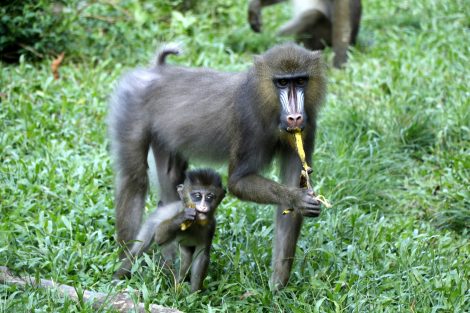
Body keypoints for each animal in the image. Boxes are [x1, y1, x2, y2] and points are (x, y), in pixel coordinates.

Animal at [108, 42, 324, 288]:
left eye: (300, 80)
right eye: (282, 82)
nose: (295, 117)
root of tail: (157, 70)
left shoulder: (305, 131)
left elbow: (289, 199)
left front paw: (277, 287)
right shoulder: (247, 125)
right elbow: (238, 182)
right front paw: (298, 198)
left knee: (171, 183)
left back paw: (168, 264)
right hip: (131, 111)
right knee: (134, 180)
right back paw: (126, 265)